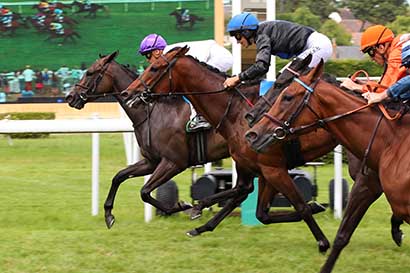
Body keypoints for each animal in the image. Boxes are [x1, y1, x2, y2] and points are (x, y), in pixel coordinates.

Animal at [119, 46, 340, 251]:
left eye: (155, 68)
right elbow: (259, 209)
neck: (235, 112)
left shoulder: (271, 167)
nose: (128, 92)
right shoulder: (262, 167)